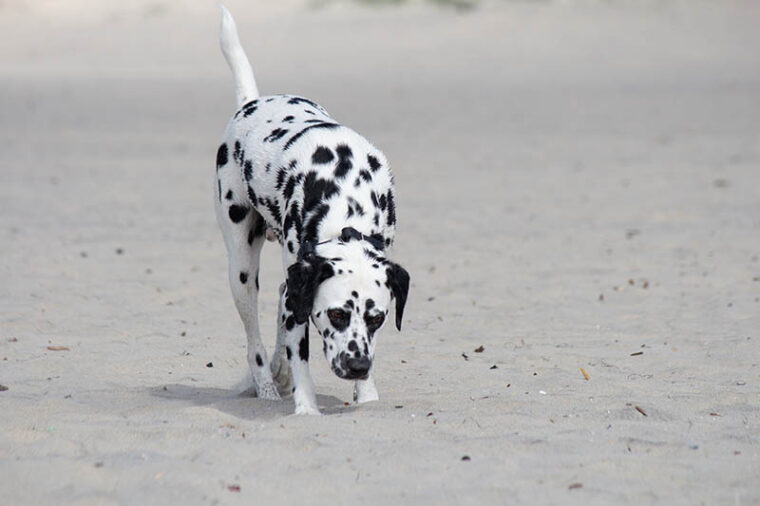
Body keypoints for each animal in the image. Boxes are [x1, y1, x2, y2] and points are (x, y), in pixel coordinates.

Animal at [214, 6, 410, 416]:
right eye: (336, 314)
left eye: (377, 317)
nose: (357, 365)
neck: (346, 203)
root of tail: (251, 103)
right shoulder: (298, 301)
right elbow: (299, 356)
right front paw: (306, 408)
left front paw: (367, 397)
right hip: (241, 269)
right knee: (255, 340)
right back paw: (267, 385)